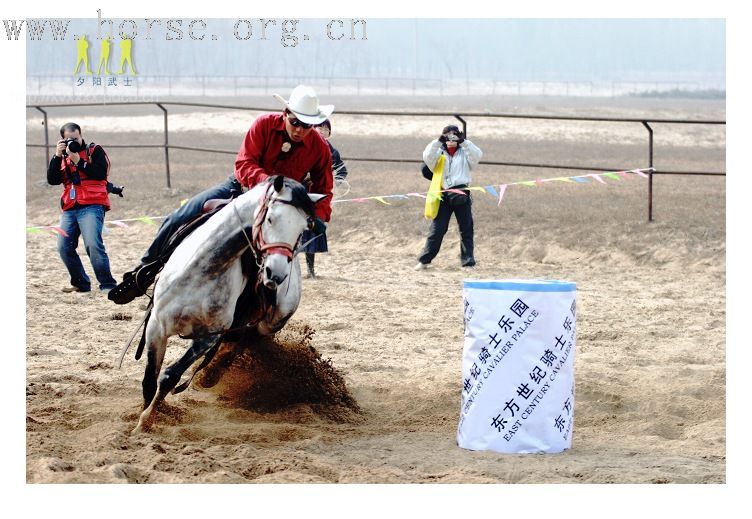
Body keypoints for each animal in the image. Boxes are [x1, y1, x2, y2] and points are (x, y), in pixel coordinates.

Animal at [134, 177, 322, 432]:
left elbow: (169, 376)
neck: (204, 270)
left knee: (248, 339)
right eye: (271, 218)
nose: (277, 273)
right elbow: (149, 380)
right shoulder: (156, 326)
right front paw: (142, 418)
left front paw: (146, 421)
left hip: (273, 320)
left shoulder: (209, 337)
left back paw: (212, 373)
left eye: (303, 229)